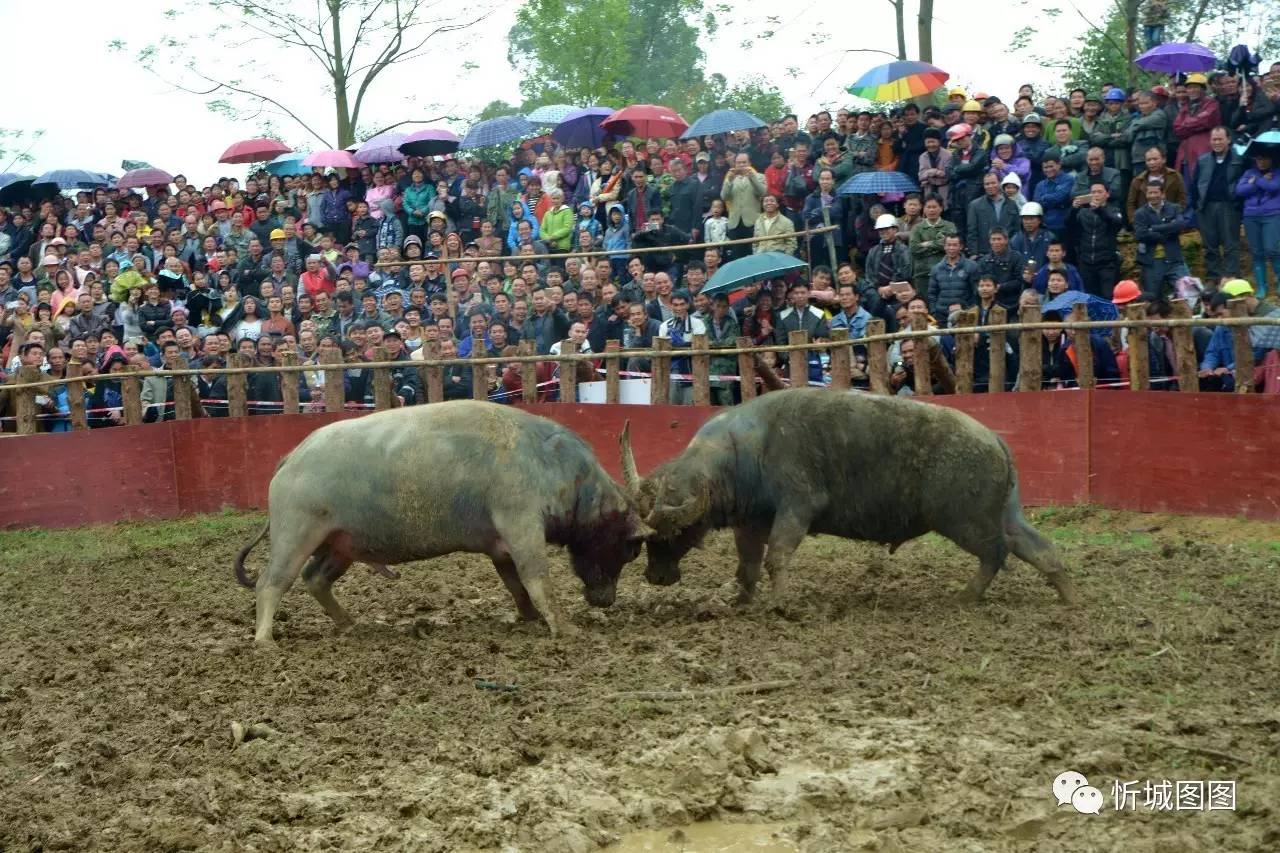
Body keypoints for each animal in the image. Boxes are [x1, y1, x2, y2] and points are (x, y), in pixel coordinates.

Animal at [236, 399, 650, 645]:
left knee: (315, 579)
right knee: (271, 583)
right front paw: (564, 627)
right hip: (296, 536)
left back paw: (349, 623)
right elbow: (537, 578)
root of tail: (292, 457)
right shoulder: (522, 527)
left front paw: (529, 618)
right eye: (631, 548)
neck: (550, 463)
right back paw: (264, 640)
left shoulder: (500, 546)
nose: (606, 600)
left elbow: (516, 585)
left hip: (341, 545)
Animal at [616, 384, 1070, 604]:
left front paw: (779, 604)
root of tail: (994, 440)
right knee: (1040, 549)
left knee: (995, 554)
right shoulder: (751, 522)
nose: (655, 577)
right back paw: (1067, 597)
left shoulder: (797, 509)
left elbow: (777, 556)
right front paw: (741, 600)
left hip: (964, 522)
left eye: (672, 534)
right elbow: (748, 564)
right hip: (1006, 516)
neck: (745, 448)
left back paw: (965, 596)